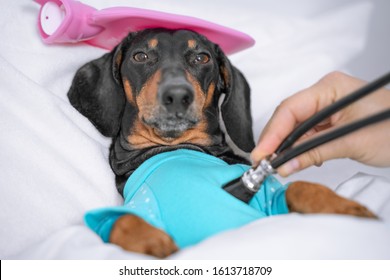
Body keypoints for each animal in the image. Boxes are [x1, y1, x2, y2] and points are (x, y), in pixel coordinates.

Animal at [68, 28, 376, 258]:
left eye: (202, 57)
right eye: (140, 56)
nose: (177, 96)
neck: (178, 147)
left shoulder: (266, 195)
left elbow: (301, 186)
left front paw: (346, 208)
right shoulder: (133, 205)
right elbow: (121, 220)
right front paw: (158, 245)